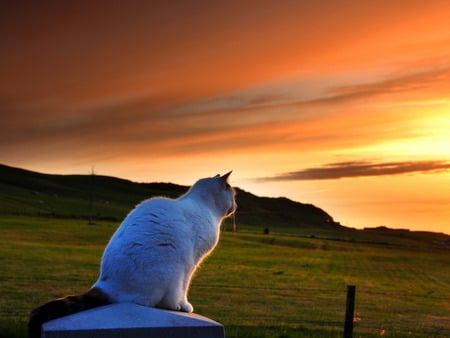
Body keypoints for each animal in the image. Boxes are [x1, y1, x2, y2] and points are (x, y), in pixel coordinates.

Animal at [28, 173, 237, 336]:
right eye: (234, 195)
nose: (236, 206)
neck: (206, 208)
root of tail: (105, 286)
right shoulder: (192, 263)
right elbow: (184, 289)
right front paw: (184, 306)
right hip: (174, 268)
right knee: (163, 299)